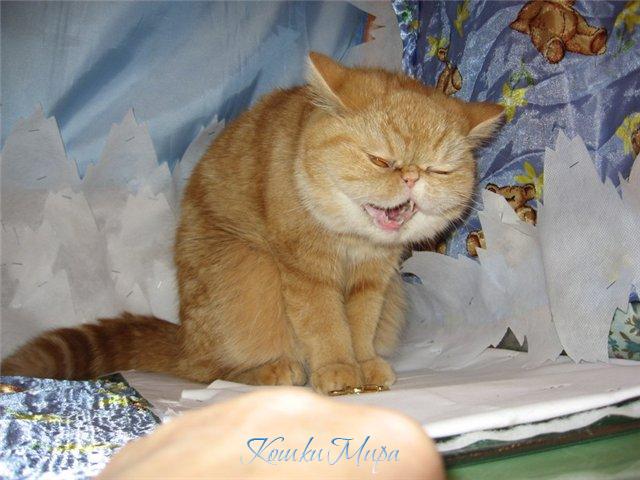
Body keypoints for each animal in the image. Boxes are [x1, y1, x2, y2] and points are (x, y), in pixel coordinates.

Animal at [1, 53, 504, 394]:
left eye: (440, 170)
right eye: (380, 159)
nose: (412, 176)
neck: (349, 240)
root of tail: (185, 339)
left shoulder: (374, 282)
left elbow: (360, 328)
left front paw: (364, 365)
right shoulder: (306, 274)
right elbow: (326, 327)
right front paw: (338, 371)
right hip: (249, 269)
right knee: (211, 372)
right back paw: (275, 370)